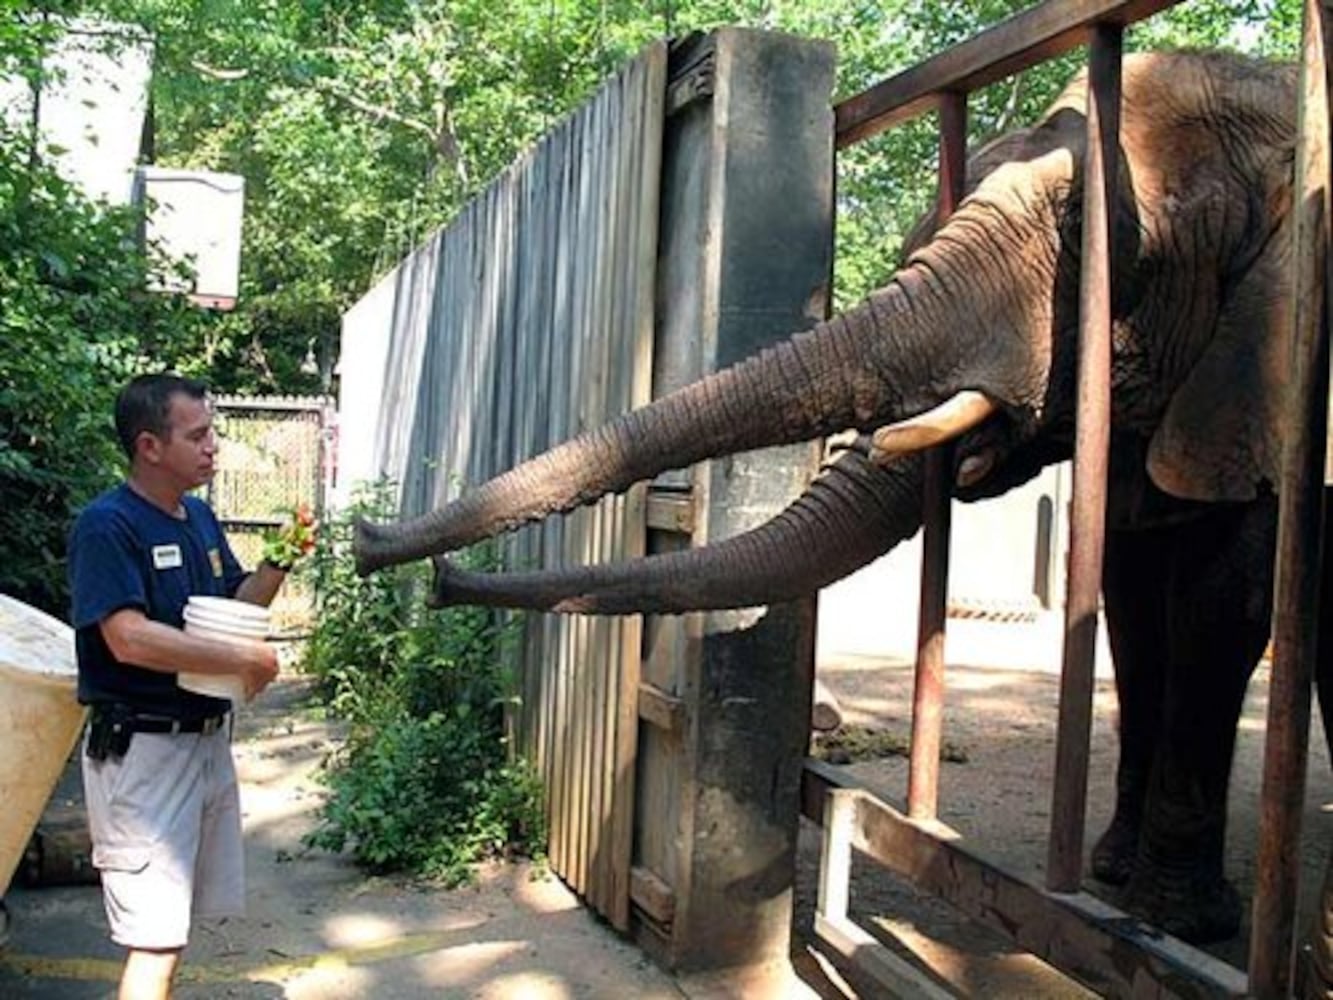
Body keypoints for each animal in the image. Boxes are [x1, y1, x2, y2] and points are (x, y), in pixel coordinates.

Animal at [354, 51, 1322, 949]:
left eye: (1098, 237)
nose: (380, 548)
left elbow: (1219, 606)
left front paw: (1173, 923)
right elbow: (1133, 604)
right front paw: (1119, 885)